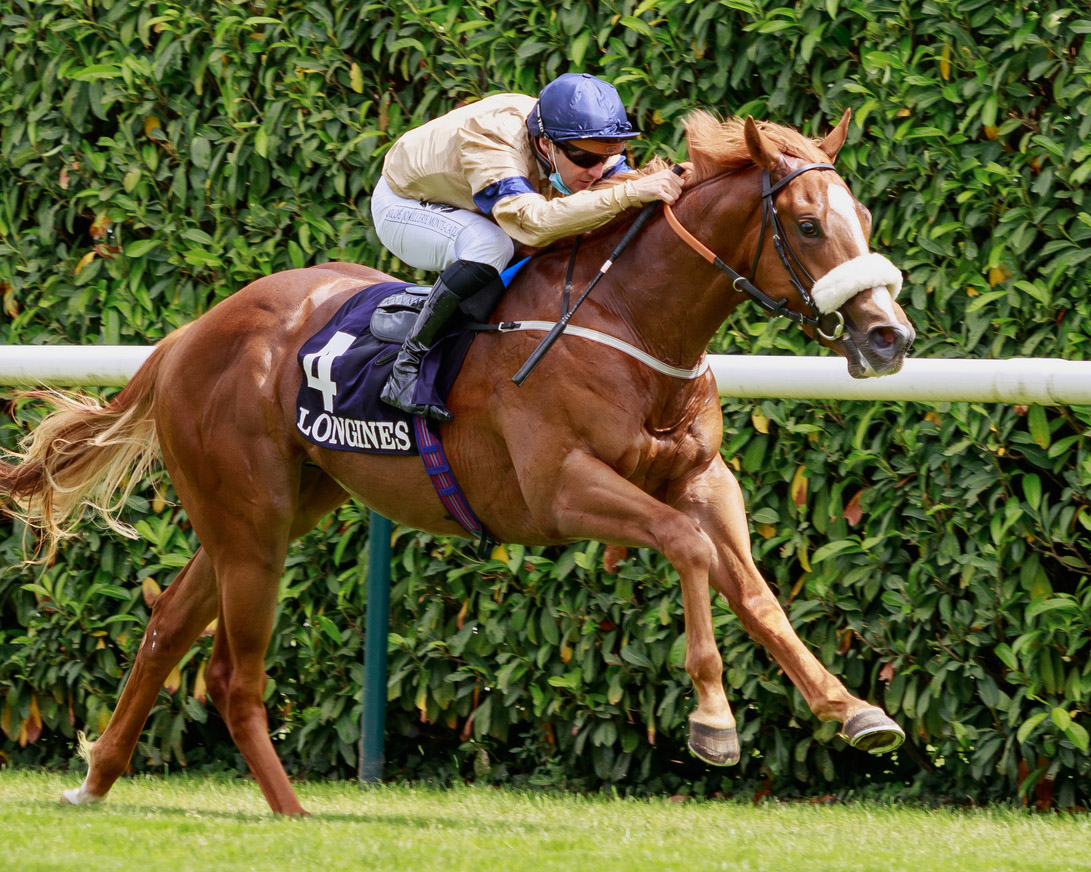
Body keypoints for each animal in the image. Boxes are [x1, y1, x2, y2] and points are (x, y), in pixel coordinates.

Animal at [2, 110, 912, 820]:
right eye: (805, 225)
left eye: (862, 214)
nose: (887, 336)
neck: (631, 325)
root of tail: (189, 334)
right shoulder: (561, 490)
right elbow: (687, 551)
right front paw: (714, 722)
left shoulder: (702, 480)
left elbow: (756, 594)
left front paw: (853, 710)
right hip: (250, 524)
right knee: (230, 674)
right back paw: (293, 813)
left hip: (270, 511)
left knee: (165, 628)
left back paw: (95, 781)